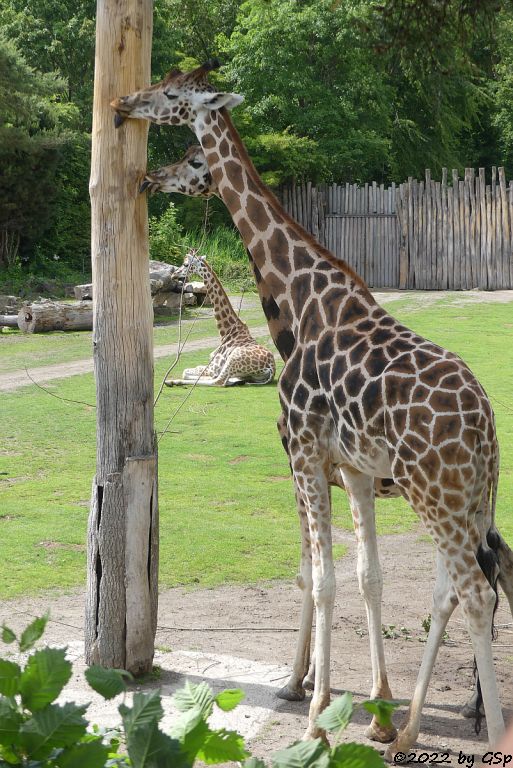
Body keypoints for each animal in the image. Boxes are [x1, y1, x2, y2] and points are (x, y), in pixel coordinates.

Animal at [113, 64, 508, 756]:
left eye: (172, 97)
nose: (123, 104)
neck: (301, 304)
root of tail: (485, 423)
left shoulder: (302, 454)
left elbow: (318, 578)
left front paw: (317, 707)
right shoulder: (348, 467)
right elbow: (362, 576)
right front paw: (367, 709)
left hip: (437, 493)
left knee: (477, 591)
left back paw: (480, 735)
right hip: (467, 499)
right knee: (459, 587)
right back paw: (412, 728)